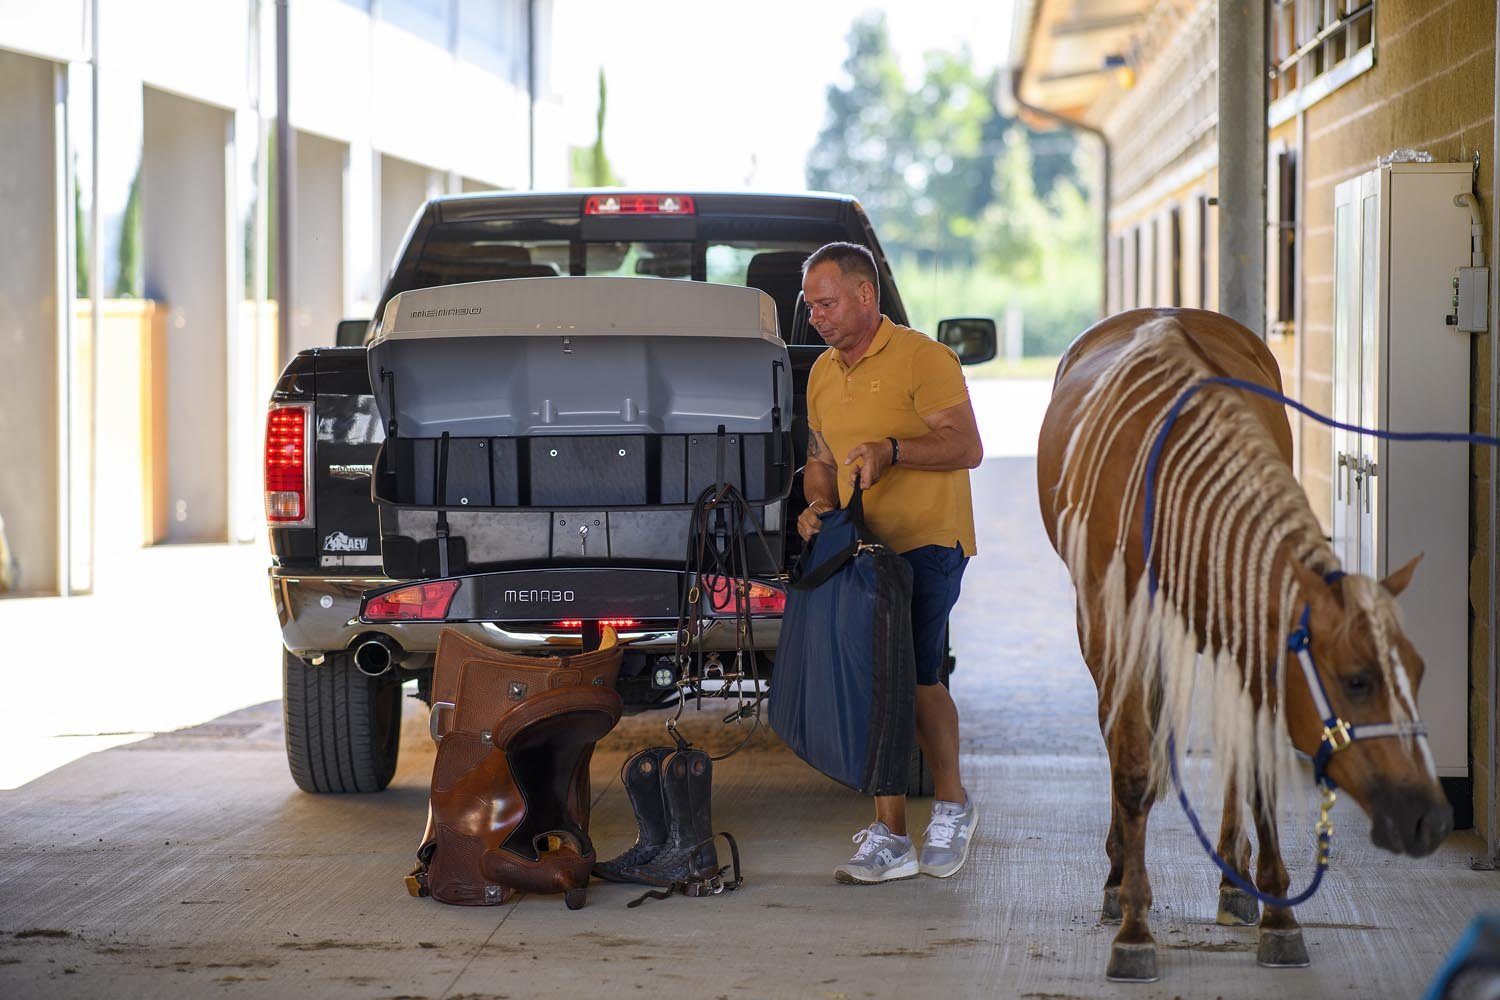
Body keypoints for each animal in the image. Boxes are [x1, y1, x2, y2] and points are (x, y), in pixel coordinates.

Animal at [1038, 308, 1446, 983]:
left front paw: (1278, 915)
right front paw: (1134, 928)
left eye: (1417, 673)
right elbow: (1130, 762)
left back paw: (1234, 876)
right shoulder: (1113, 622)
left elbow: (1256, 770)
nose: (1427, 818)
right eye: (1357, 679)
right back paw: (1119, 874)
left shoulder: (1254, 637)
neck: (1168, 472)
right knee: (1119, 734)